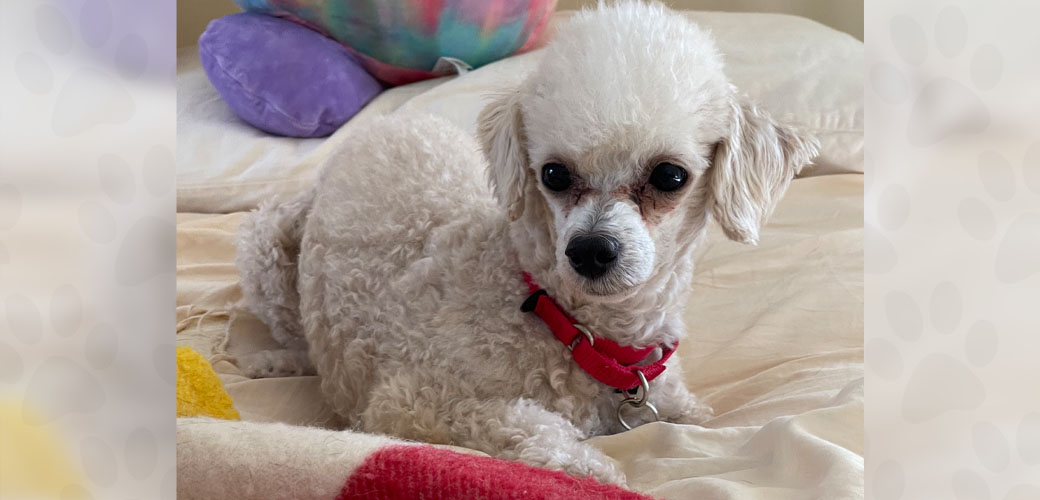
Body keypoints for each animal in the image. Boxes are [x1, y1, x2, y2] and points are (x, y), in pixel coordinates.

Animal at [236, 0, 819, 482]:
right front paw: (592, 468)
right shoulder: (409, 403)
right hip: (266, 252)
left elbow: (693, 415)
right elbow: (530, 426)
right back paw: (276, 361)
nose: (589, 252)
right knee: (295, 337)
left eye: (670, 176)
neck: (570, 327)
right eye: (554, 174)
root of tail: (374, 130)